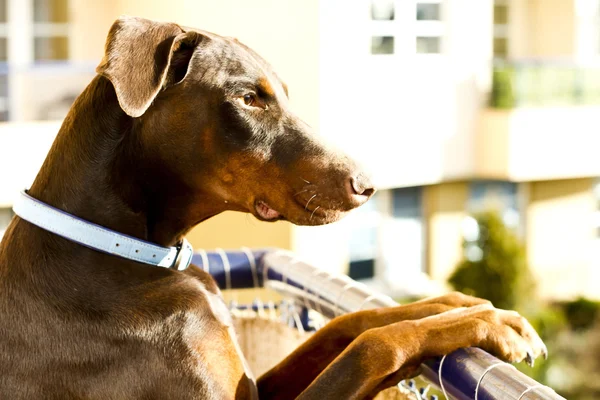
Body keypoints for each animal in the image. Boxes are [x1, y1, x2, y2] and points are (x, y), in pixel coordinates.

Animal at [0, 16, 544, 400]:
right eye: (248, 99)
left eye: (282, 94)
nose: (367, 186)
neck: (122, 252)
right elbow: (376, 344)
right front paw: (490, 324)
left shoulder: (255, 383)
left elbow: (351, 324)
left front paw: (455, 304)